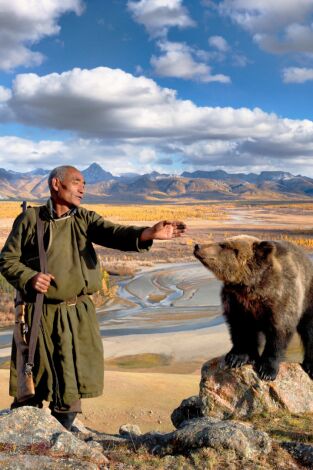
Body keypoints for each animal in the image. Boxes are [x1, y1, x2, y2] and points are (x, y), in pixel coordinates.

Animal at [193, 235, 312, 382]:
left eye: (223, 245)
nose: (197, 246)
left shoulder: (281, 298)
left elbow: (279, 332)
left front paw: (267, 370)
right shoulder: (236, 301)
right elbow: (240, 328)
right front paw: (236, 357)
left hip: (308, 298)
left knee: (309, 330)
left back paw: (310, 365)